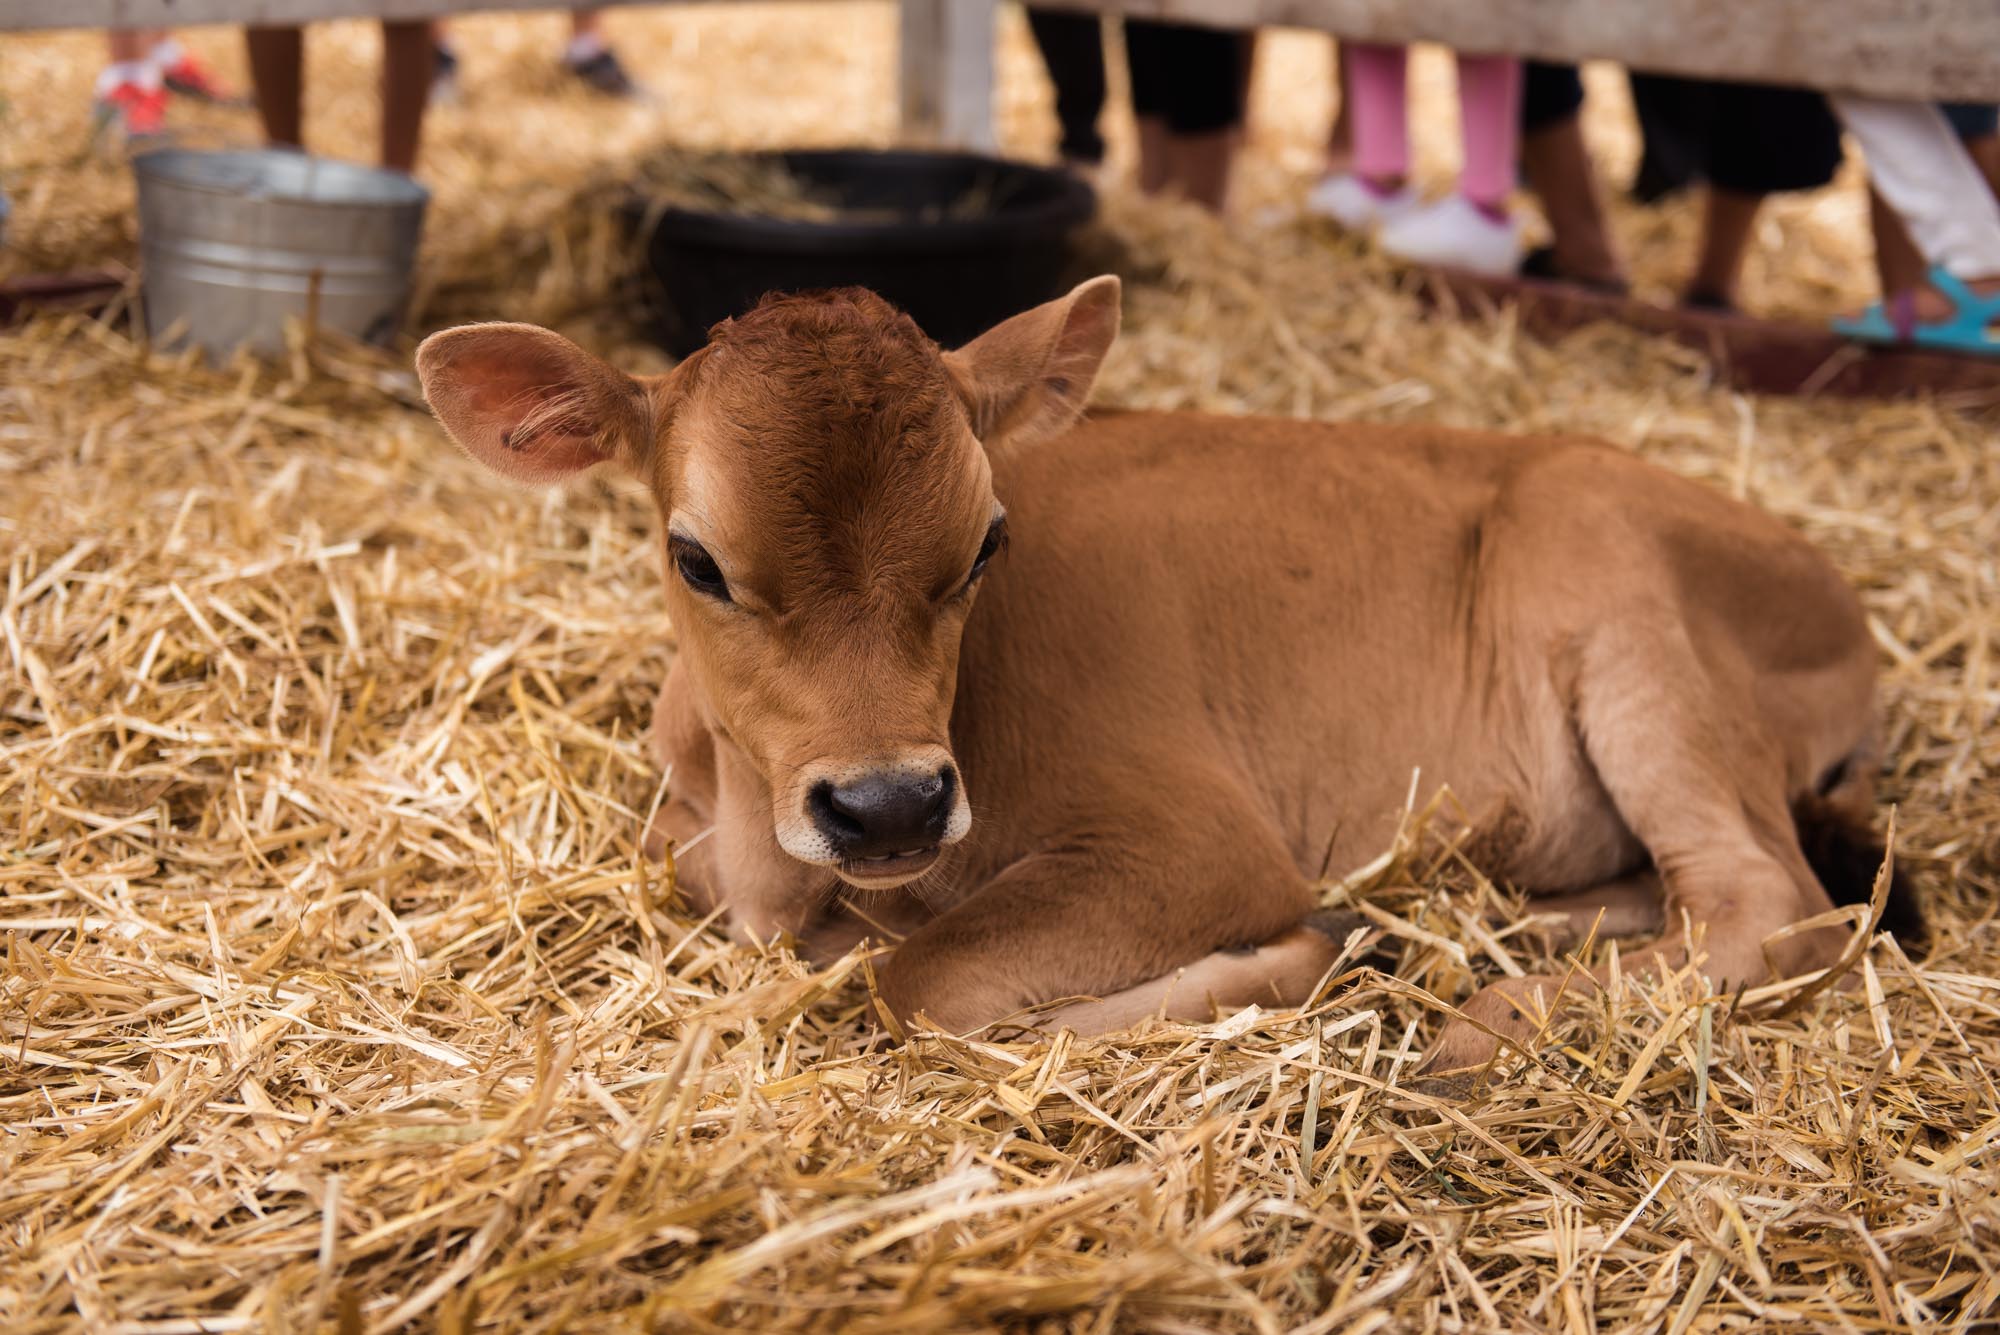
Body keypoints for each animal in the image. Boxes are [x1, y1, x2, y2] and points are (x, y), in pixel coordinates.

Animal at [414, 279, 1912, 1071]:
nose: (888, 804)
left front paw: (1295, 954)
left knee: (1768, 902)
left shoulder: (1194, 840)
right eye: (697, 559)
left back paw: (1481, 1015)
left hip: (1618, 600)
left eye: (987, 541)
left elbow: (925, 988)